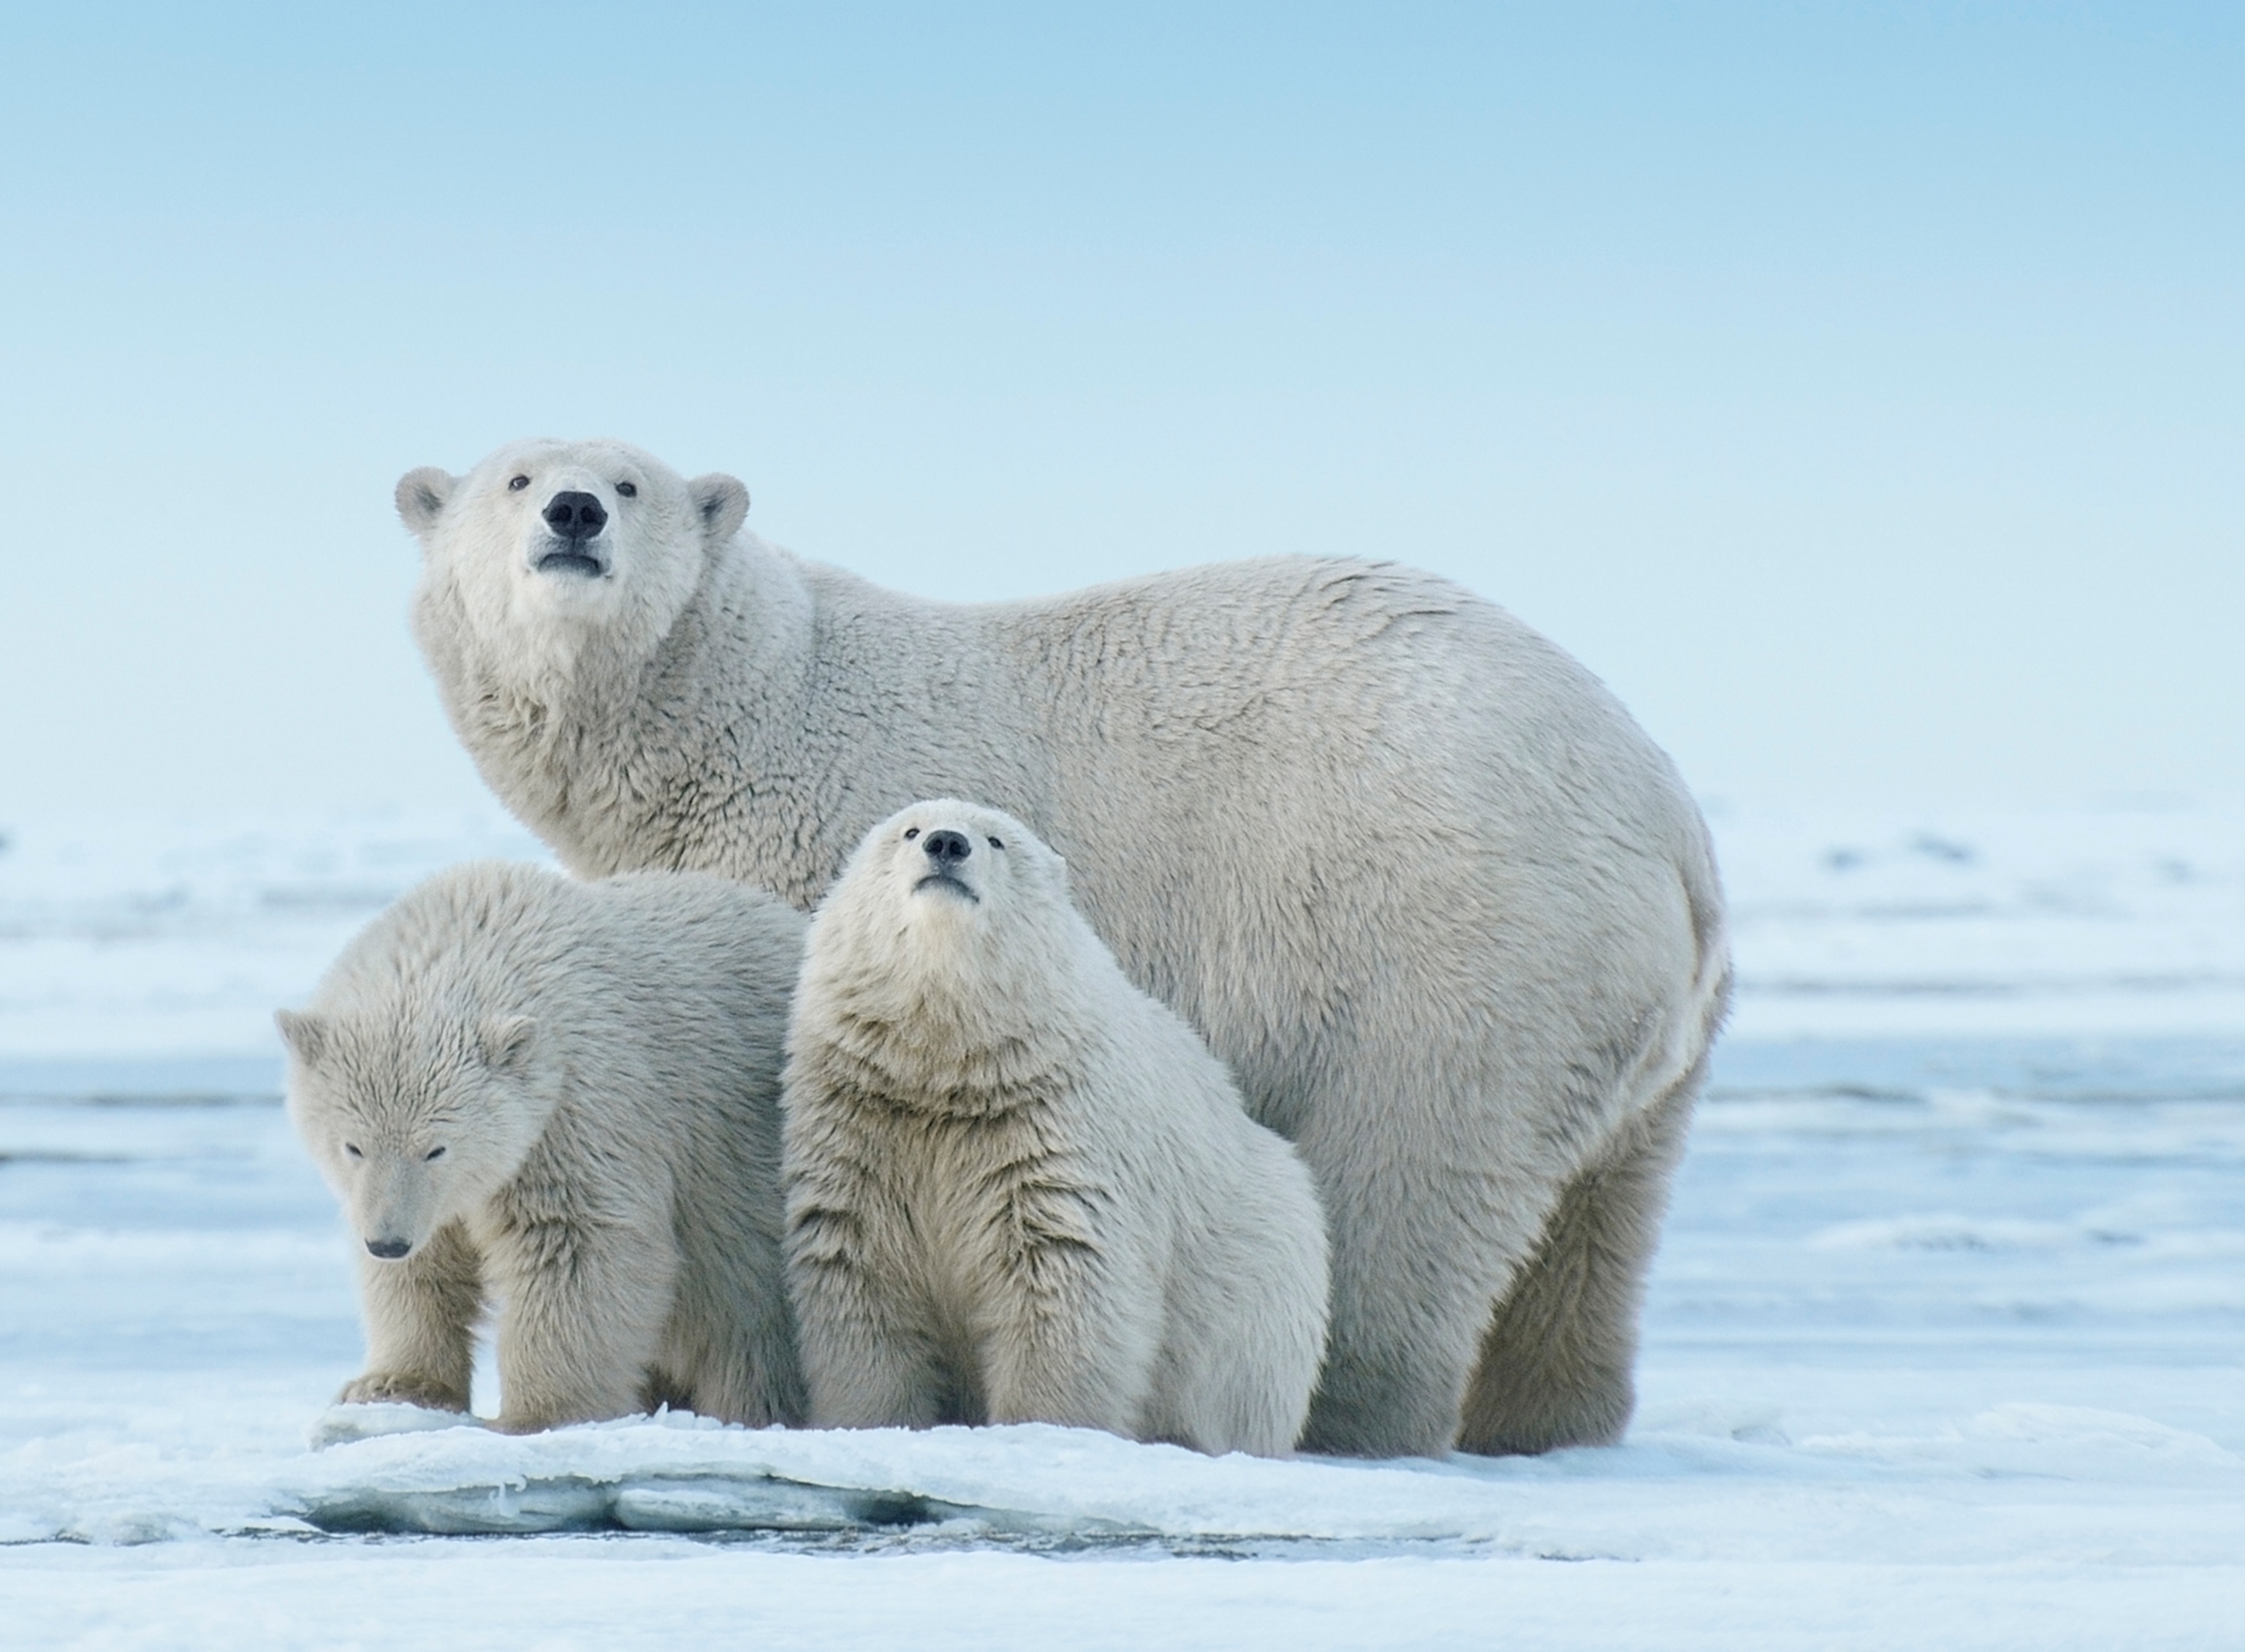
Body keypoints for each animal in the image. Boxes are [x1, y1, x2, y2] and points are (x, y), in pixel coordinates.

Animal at [276, 866, 808, 1436]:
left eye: (437, 1149)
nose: (388, 1242)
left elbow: (574, 1241)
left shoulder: (578, 1109)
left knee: (747, 1322)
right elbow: (428, 1266)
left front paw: (538, 1414)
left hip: (742, 1181)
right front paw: (391, 1386)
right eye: (353, 1146)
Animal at [786, 799, 1320, 1454]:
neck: (949, 1073)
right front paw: (869, 1425)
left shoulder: (1052, 1135)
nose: (946, 844)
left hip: (1264, 1288)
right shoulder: (866, 1128)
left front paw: (1041, 1432)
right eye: (908, 831)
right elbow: (860, 1281)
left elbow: (1062, 1284)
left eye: (996, 840)